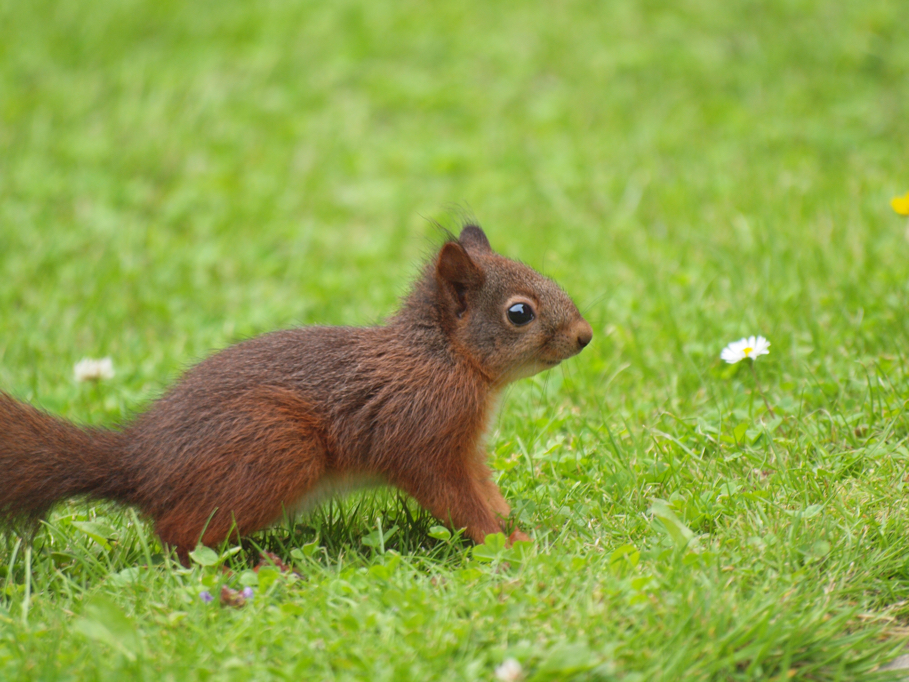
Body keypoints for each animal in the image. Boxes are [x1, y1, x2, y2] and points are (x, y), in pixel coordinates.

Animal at [0, 226, 592, 560]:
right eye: (520, 313)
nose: (585, 336)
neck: (445, 359)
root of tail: (138, 462)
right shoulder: (421, 437)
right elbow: (458, 500)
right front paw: (505, 545)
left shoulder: (466, 450)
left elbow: (486, 492)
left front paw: (520, 526)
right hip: (277, 445)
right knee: (179, 536)